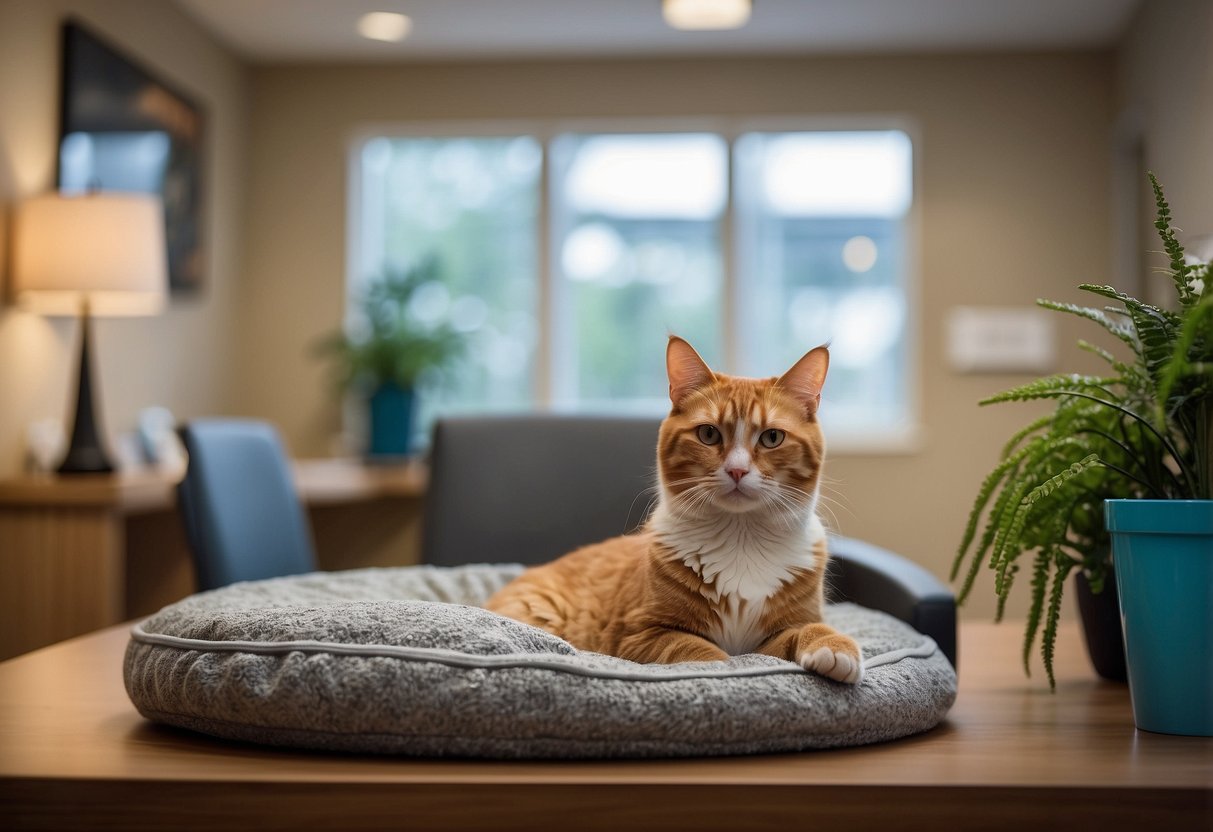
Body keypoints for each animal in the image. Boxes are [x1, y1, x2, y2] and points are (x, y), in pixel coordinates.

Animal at [482, 337, 863, 684]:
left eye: (772, 438)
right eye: (708, 434)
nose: (737, 471)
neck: (741, 538)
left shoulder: (778, 634)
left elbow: (808, 628)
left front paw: (835, 646)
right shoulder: (638, 635)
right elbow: (704, 652)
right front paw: (725, 669)